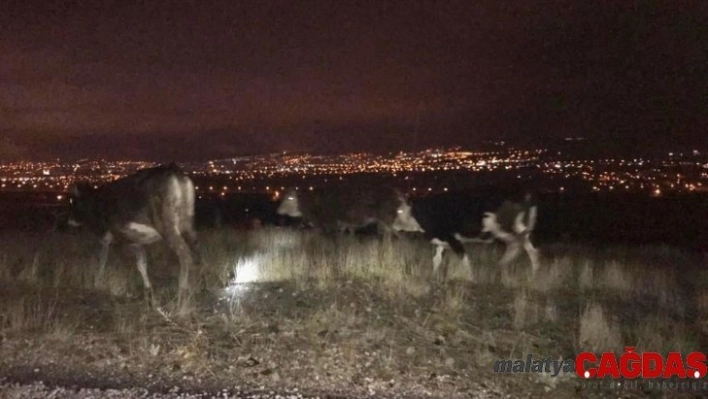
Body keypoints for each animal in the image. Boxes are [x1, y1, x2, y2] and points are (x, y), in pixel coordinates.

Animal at [68, 164, 199, 304]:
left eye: (74, 202)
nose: (69, 220)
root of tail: (176, 173)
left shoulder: (111, 236)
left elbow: (103, 259)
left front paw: (97, 282)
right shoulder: (136, 239)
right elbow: (142, 264)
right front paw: (148, 290)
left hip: (167, 226)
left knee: (185, 254)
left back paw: (182, 291)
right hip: (188, 223)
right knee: (194, 249)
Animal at [278, 185, 410, 238]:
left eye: (289, 198)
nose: (278, 210)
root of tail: (396, 194)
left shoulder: (328, 222)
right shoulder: (340, 223)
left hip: (386, 218)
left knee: (390, 233)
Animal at [392, 188, 544, 276]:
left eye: (399, 211)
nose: (394, 225)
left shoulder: (453, 238)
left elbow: (463, 258)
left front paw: (470, 279)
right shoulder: (441, 239)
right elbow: (436, 259)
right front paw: (433, 275)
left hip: (501, 228)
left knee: (515, 244)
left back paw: (502, 264)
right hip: (519, 227)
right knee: (531, 250)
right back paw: (534, 274)